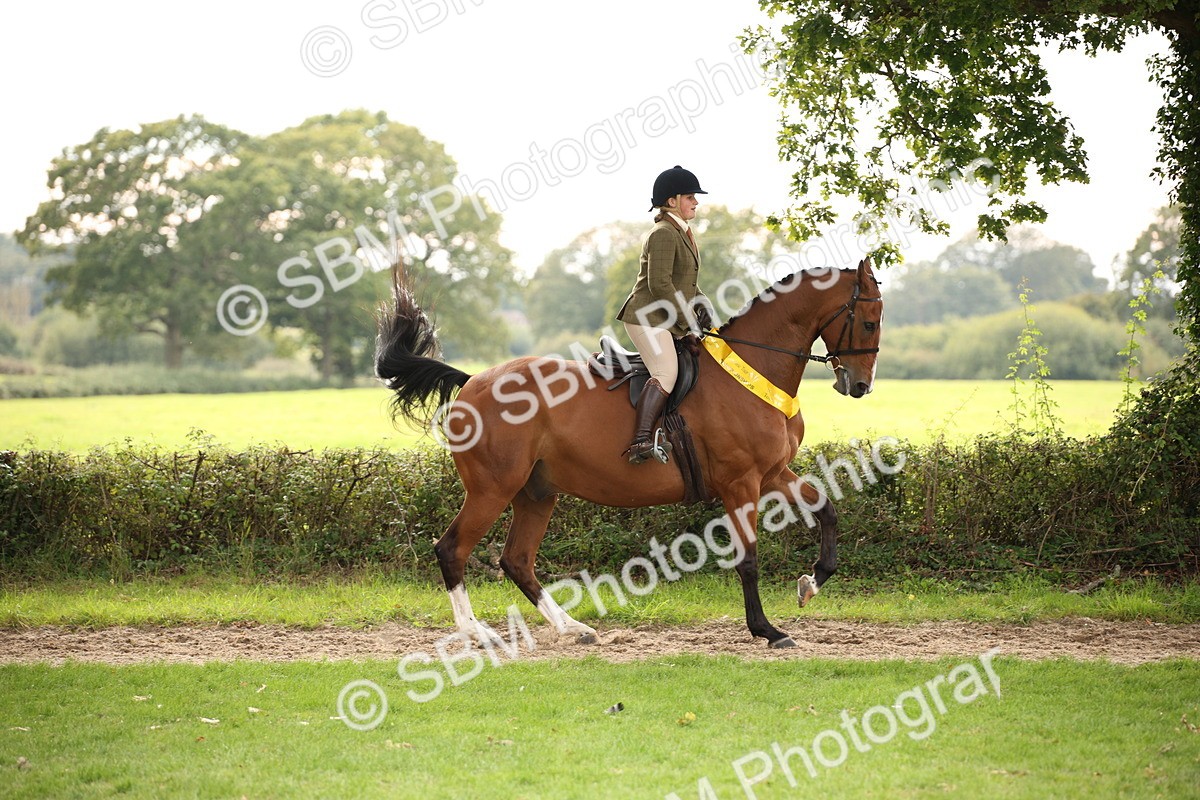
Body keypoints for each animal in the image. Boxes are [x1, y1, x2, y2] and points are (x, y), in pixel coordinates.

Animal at [375, 258, 883, 648]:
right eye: (869, 320)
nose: (860, 386)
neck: (753, 366)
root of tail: (473, 381)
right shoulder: (741, 483)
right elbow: (749, 558)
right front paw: (767, 630)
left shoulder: (773, 473)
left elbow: (828, 509)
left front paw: (811, 583)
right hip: (492, 489)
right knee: (452, 550)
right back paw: (478, 635)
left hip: (536, 493)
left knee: (516, 560)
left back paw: (573, 628)